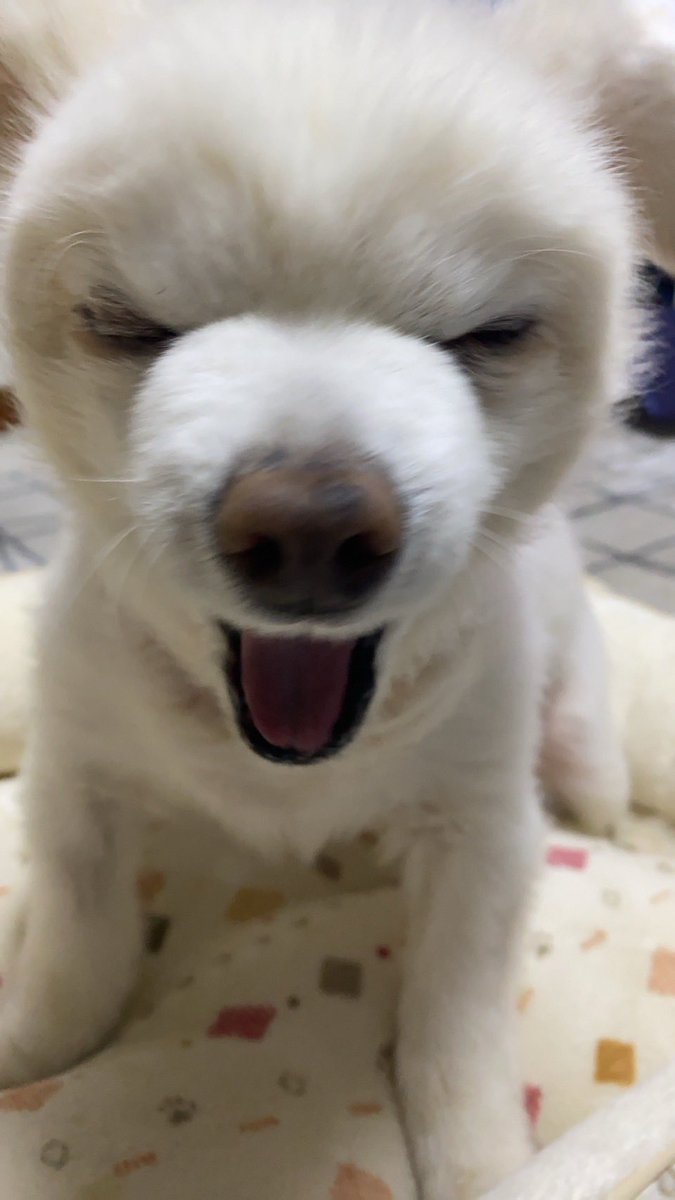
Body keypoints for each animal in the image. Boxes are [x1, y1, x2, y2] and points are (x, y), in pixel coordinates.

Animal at [1, 1, 674, 1195]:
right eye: (127, 324)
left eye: (489, 334)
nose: (311, 522)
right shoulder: (79, 780)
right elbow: (78, 944)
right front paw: (34, 1050)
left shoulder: (481, 832)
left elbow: (455, 1018)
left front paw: (483, 1159)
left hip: (580, 726)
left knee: (596, 776)